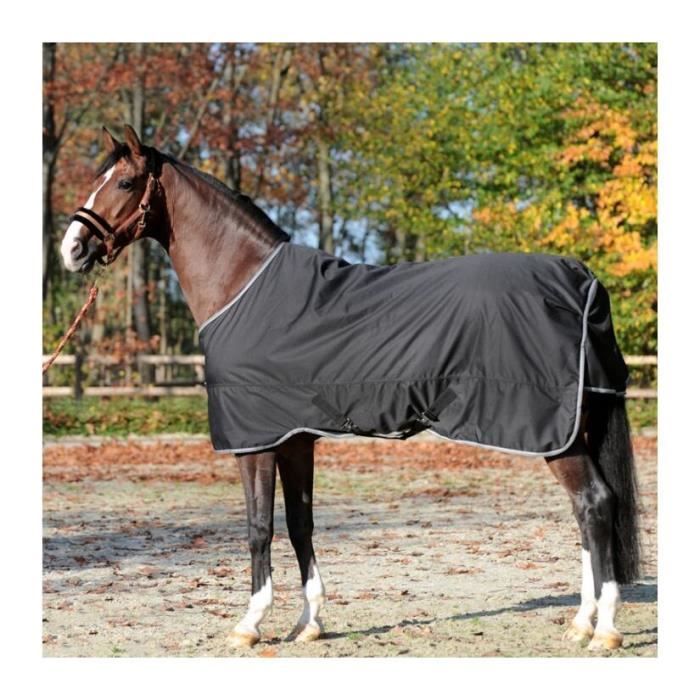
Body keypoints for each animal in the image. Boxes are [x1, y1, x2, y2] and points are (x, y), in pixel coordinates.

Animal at [59, 125, 641, 652]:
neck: (244, 284)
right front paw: (308, 622)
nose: (72, 248)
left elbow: (258, 526)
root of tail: (581, 279)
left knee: (594, 504)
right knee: (585, 514)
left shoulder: (255, 440)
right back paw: (581, 622)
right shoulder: (295, 438)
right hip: (575, 430)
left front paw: (250, 623)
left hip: (555, 435)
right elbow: (301, 524)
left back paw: (605, 630)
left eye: (125, 182)